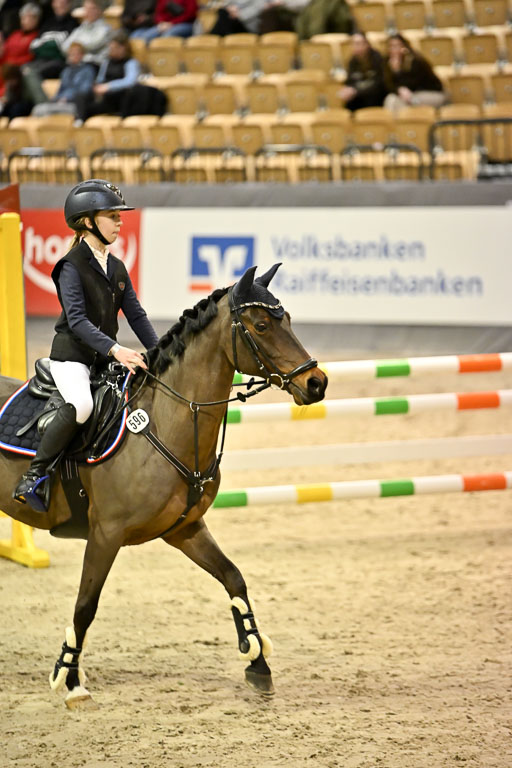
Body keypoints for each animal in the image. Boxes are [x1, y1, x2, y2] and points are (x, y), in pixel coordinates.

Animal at [0, 264, 327, 708]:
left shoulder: (184, 529)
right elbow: (85, 605)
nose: (317, 383)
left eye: (288, 320)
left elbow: (234, 578)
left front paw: (257, 663)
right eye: (261, 325)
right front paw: (70, 681)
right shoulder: (105, 534)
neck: (165, 421)